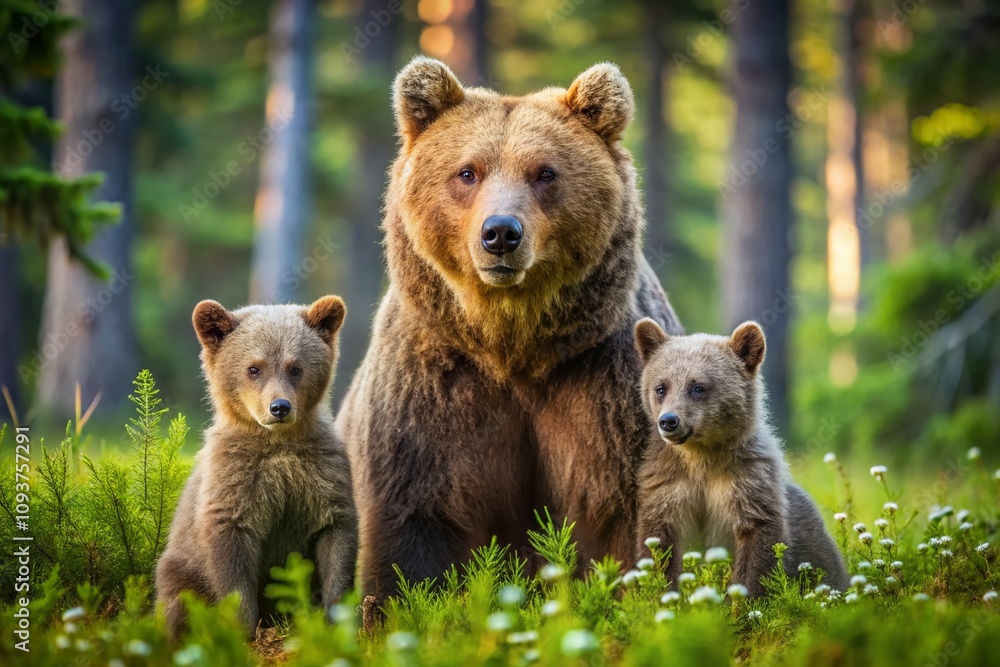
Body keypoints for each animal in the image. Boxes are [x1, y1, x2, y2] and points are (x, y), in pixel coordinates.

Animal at [156, 296, 358, 639]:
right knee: (178, 601)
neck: (277, 442)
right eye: (254, 367)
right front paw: (244, 628)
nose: (279, 407)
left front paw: (337, 617)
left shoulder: (322, 469)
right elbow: (232, 561)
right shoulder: (235, 479)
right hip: (181, 569)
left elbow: (336, 538)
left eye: (295, 367)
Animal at [336, 56, 682, 605]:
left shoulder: (606, 385)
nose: (500, 232)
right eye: (467, 172)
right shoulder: (432, 389)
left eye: (545, 172)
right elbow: (413, 524)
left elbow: (625, 516)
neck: (513, 344)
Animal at [632, 318, 849, 596]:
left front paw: (740, 601)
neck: (701, 455)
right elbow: (657, 544)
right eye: (661, 387)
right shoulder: (666, 484)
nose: (669, 421)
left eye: (698, 387)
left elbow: (756, 551)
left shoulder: (748, 481)